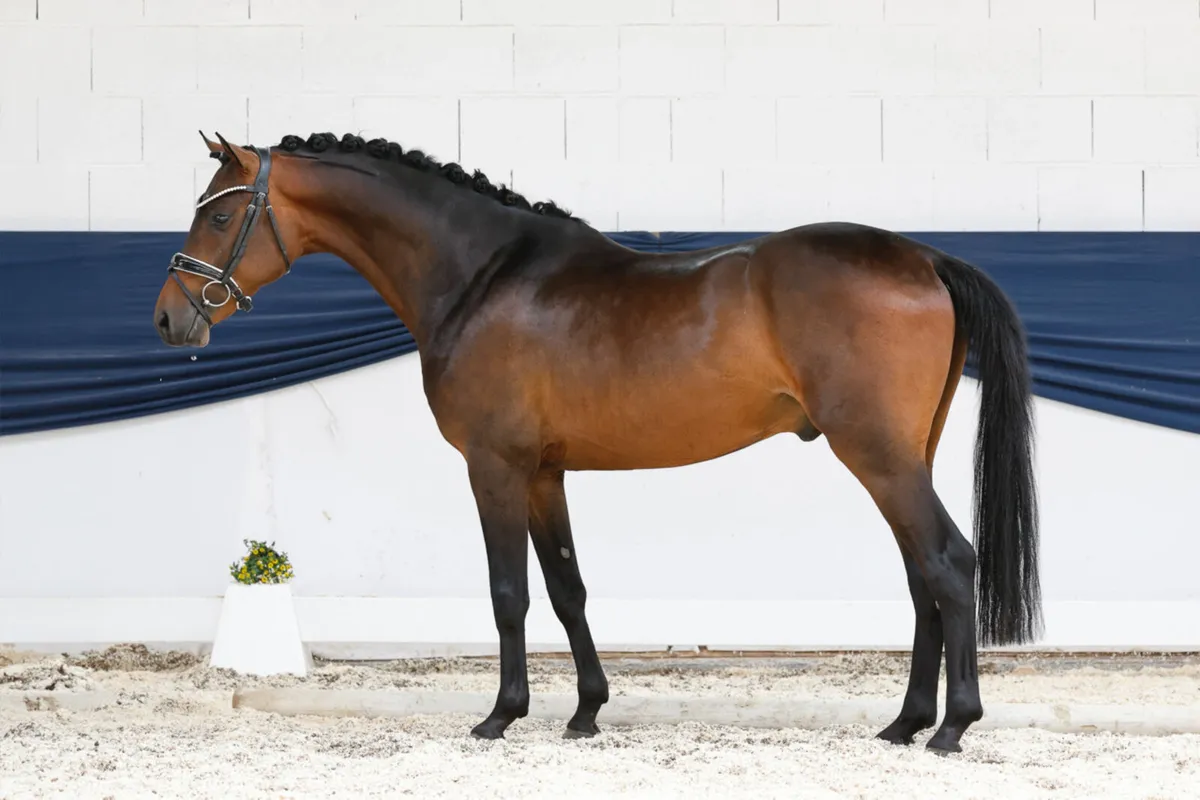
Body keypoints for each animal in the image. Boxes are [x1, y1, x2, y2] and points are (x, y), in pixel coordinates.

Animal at [153, 131, 1041, 754]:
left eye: (222, 212)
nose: (169, 317)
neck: (483, 277)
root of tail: (922, 255)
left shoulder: (495, 468)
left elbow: (508, 593)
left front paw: (501, 716)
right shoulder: (546, 474)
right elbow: (567, 588)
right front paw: (585, 712)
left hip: (876, 455)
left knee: (947, 563)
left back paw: (951, 727)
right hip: (901, 456)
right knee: (921, 575)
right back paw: (904, 723)